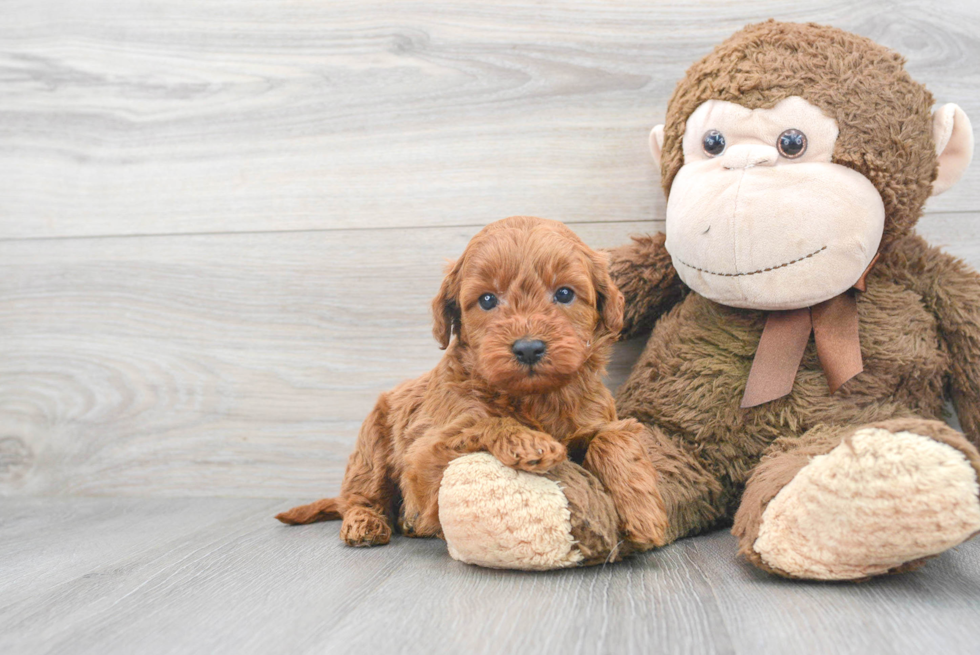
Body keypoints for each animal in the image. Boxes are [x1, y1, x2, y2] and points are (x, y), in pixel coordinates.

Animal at [280, 218, 668, 552]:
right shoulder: (423, 457)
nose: (528, 348)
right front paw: (529, 442)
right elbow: (483, 422)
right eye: (487, 300)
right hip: (371, 445)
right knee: (360, 495)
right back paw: (365, 522)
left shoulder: (597, 417)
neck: (533, 398)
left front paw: (644, 513)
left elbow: (613, 438)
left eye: (564, 294)